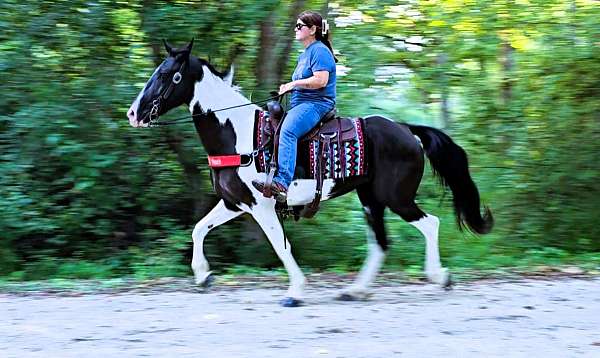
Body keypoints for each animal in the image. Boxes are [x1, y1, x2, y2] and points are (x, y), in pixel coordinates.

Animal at [125, 40, 492, 306]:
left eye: (169, 75)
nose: (133, 113)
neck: (237, 133)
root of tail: (407, 130)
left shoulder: (262, 206)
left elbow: (280, 246)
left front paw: (296, 291)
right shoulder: (234, 203)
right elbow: (199, 229)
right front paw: (203, 276)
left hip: (396, 197)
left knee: (430, 224)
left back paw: (439, 277)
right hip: (371, 199)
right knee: (380, 242)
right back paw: (356, 291)